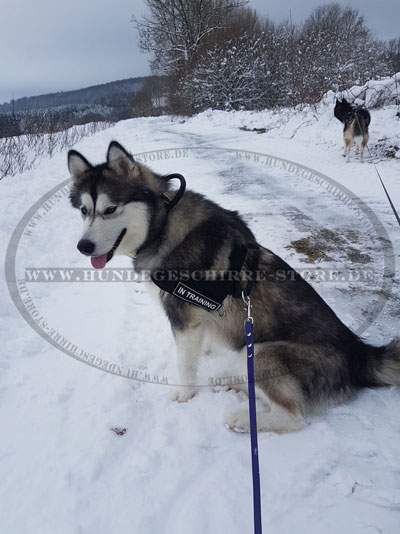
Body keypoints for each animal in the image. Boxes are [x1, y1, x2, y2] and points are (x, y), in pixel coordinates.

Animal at [67, 141, 398, 436]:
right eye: (83, 210)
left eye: (110, 209)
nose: (83, 247)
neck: (161, 227)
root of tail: (359, 353)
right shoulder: (200, 319)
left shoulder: (183, 318)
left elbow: (184, 364)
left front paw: (184, 396)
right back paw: (236, 381)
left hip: (264, 351)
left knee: (293, 417)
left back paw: (243, 419)